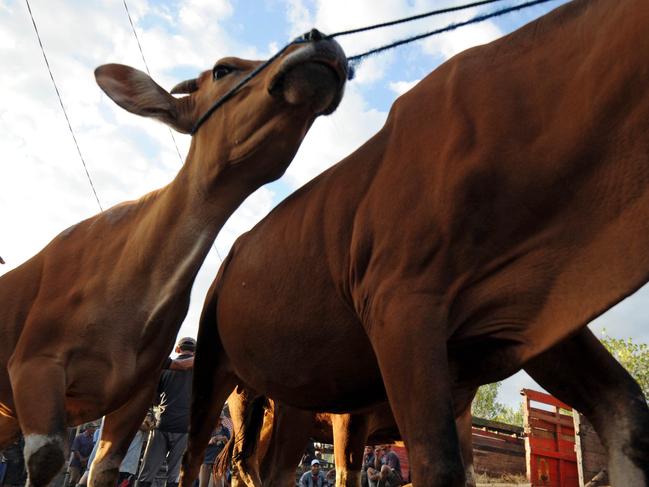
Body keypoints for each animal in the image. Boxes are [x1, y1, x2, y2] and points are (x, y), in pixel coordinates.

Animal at [0, 33, 350, 487]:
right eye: (222, 69)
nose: (318, 40)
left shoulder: (135, 395)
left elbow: (104, 469)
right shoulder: (35, 365)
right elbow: (46, 458)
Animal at [180, 1, 648, 486]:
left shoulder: (527, 304)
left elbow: (627, 412)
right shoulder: (400, 306)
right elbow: (434, 465)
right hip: (218, 371)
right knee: (202, 457)